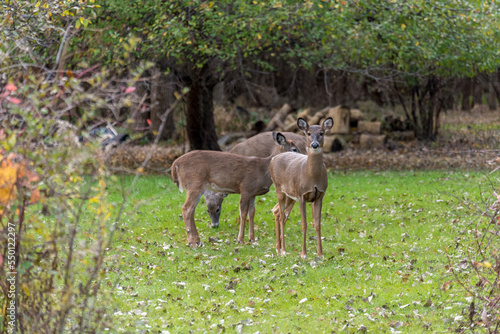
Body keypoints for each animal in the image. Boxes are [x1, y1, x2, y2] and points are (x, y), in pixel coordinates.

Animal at [170, 132, 298, 247]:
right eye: (294, 149)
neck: (263, 170)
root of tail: (175, 164)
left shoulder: (252, 193)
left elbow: (252, 213)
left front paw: (252, 239)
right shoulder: (245, 188)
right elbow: (243, 213)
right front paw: (240, 240)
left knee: (191, 210)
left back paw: (198, 241)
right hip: (195, 185)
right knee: (186, 208)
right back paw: (192, 242)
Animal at [270, 117, 332, 258]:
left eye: (321, 132)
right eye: (308, 133)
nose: (314, 144)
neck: (312, 177)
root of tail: (273, 159)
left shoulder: (320, 196)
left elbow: (317, 224)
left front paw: (320, 254)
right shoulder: (302, 195)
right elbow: (304, 225)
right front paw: (304, 254)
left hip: (290, 196)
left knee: (278, 212)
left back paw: (278, 248)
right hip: (279, 189)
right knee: (281, 216)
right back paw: (283, 250)